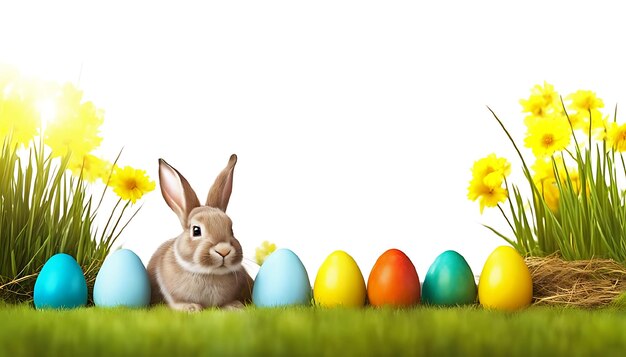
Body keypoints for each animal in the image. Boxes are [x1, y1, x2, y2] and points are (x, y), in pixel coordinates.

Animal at [147, 154, 252, 310]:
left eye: (231, 229)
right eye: (196, 230)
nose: (224, 250)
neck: (207, 273)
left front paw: (235, 307)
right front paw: (191, 308)